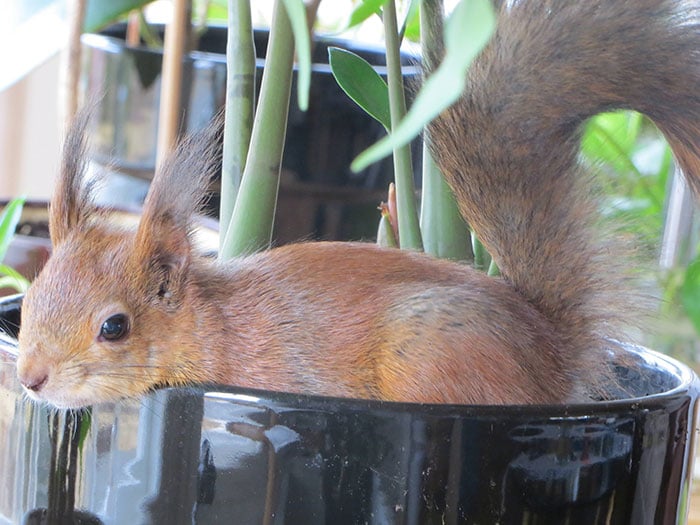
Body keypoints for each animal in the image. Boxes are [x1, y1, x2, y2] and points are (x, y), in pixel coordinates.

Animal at [13, 0, 700, 410]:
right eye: (33, 294)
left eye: (115, 327)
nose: (30, 379)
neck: (208, 325)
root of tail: (553, 351)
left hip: (436, 365)